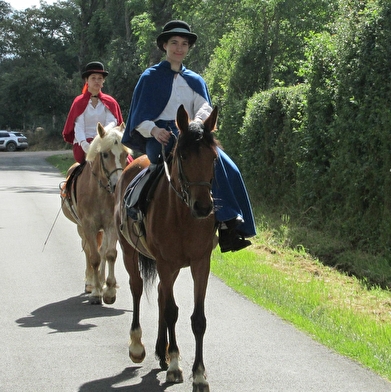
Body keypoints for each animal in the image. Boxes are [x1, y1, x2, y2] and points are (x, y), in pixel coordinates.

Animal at [61, 121, 131, 304]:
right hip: (81, 228)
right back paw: (91, 284)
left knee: (102, 251)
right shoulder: (89, 226)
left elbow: (110, 254)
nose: (117, 184)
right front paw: (96, 292)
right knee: (88, 251)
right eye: (105, 155)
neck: (99, 192)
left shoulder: (110, 225)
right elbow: (94, 257)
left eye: (124, 155)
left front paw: (109, 290)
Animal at [114, 105, 220, 392]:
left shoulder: (200, 263)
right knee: (138, 288)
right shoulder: (165, 262)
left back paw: (162, 351)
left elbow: (198, 319)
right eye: (183, 155)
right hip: (130, 252)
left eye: (214, 157)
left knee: (162, 293)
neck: (181, 215)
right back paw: (138, 346)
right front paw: (175, 367)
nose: (203, 207)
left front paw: (199, 375)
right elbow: (172, 311)